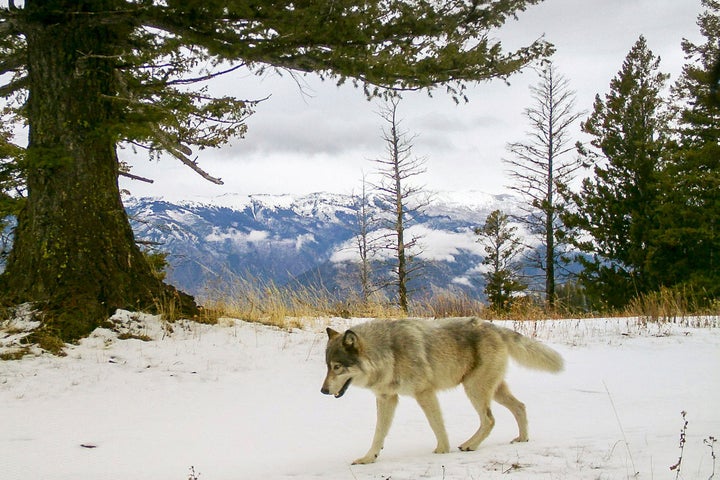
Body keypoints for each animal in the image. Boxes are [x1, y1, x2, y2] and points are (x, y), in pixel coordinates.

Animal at [320, 316, 564, 464]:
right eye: (327, 366)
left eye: (337, 367)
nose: (322, 391)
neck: (388, 353)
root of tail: (494, 327)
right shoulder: (387, 398)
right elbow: (378, 433)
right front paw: (368, 458)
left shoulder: (424, 393)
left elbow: (436, 425)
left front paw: (442, 451)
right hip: (493, 391)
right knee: (520, 407)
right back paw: (522, 439)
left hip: (474, 389)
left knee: (490, 419)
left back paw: (469, 445)